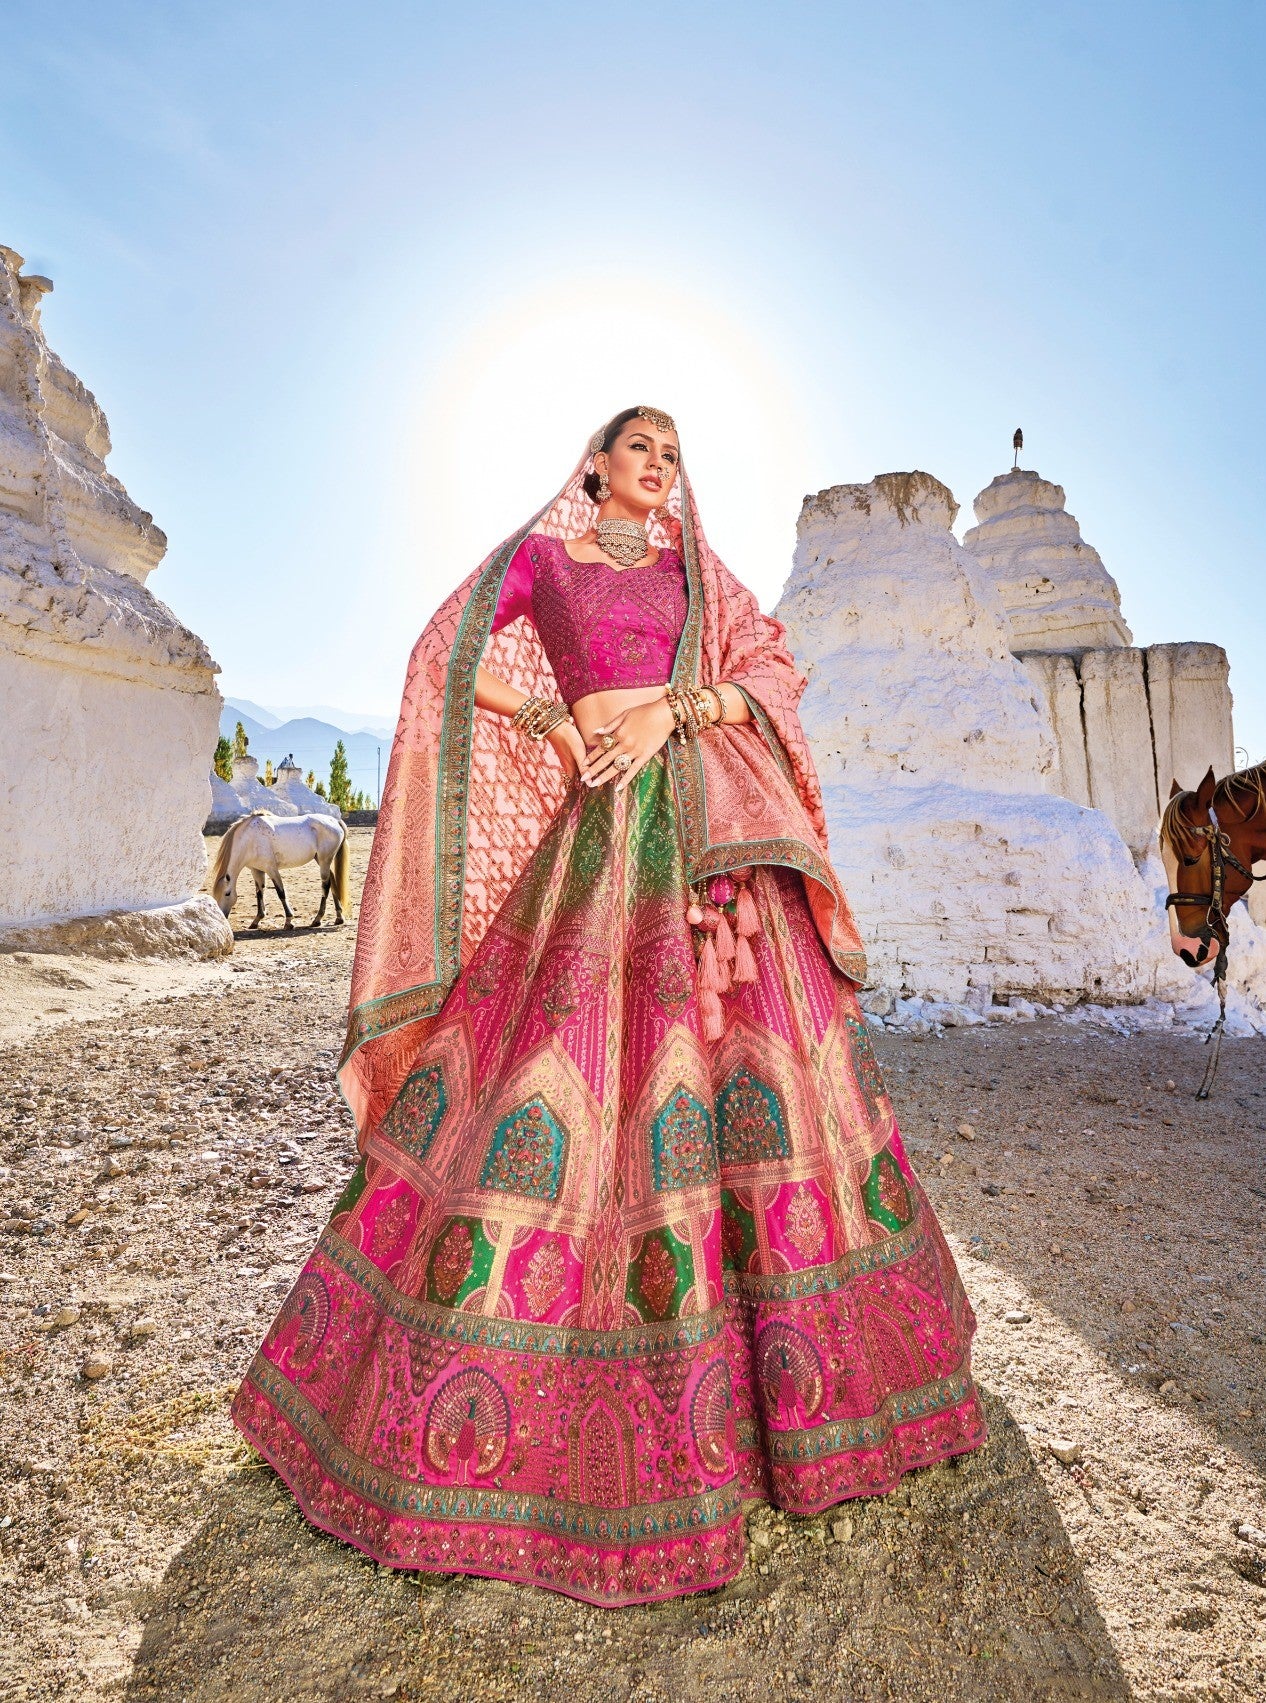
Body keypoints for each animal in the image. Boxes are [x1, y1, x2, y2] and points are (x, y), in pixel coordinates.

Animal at [210, 810, 351, 933]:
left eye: (227, 894)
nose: (222, 917)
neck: (250, 839)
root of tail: (335, 821)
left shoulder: (271, 869)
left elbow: (281, 892)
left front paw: (289, 921)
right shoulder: (256, 870)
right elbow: (259, 892)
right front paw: (256, 920)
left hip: (324, 861)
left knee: (325, 886)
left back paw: (317, 919)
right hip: (321, 861)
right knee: (332, 881)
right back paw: (339, 917)